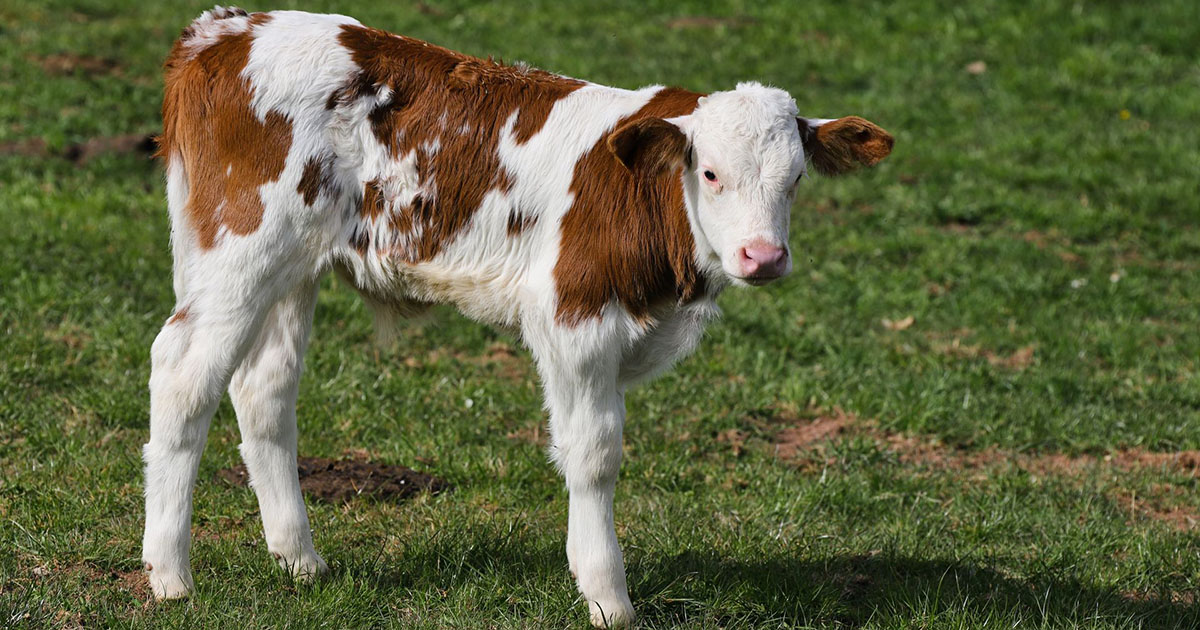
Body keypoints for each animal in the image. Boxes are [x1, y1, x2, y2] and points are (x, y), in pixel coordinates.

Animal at [141, 7, 893, 627]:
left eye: (795, 179)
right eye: (709, 173)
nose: (763, 256)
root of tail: (224, 31)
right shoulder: (574, 320)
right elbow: (593, 454)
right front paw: (608, 598)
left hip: (293, 266)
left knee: (263, 387)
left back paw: (299, 560)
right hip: (243, 246)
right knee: (184, 377)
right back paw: (170, 576)